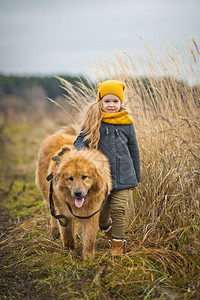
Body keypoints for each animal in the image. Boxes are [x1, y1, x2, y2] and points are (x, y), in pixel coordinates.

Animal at [35, 126, 111, 260]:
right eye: (70, 178)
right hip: (48, 193)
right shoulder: (63, 212)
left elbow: (89, 238)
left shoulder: (91, 214)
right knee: (53, 214)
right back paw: (55, 232)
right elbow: (67, 233)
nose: (77, 193)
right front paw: (69, 249)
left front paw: (88, 258)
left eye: (84, 177)